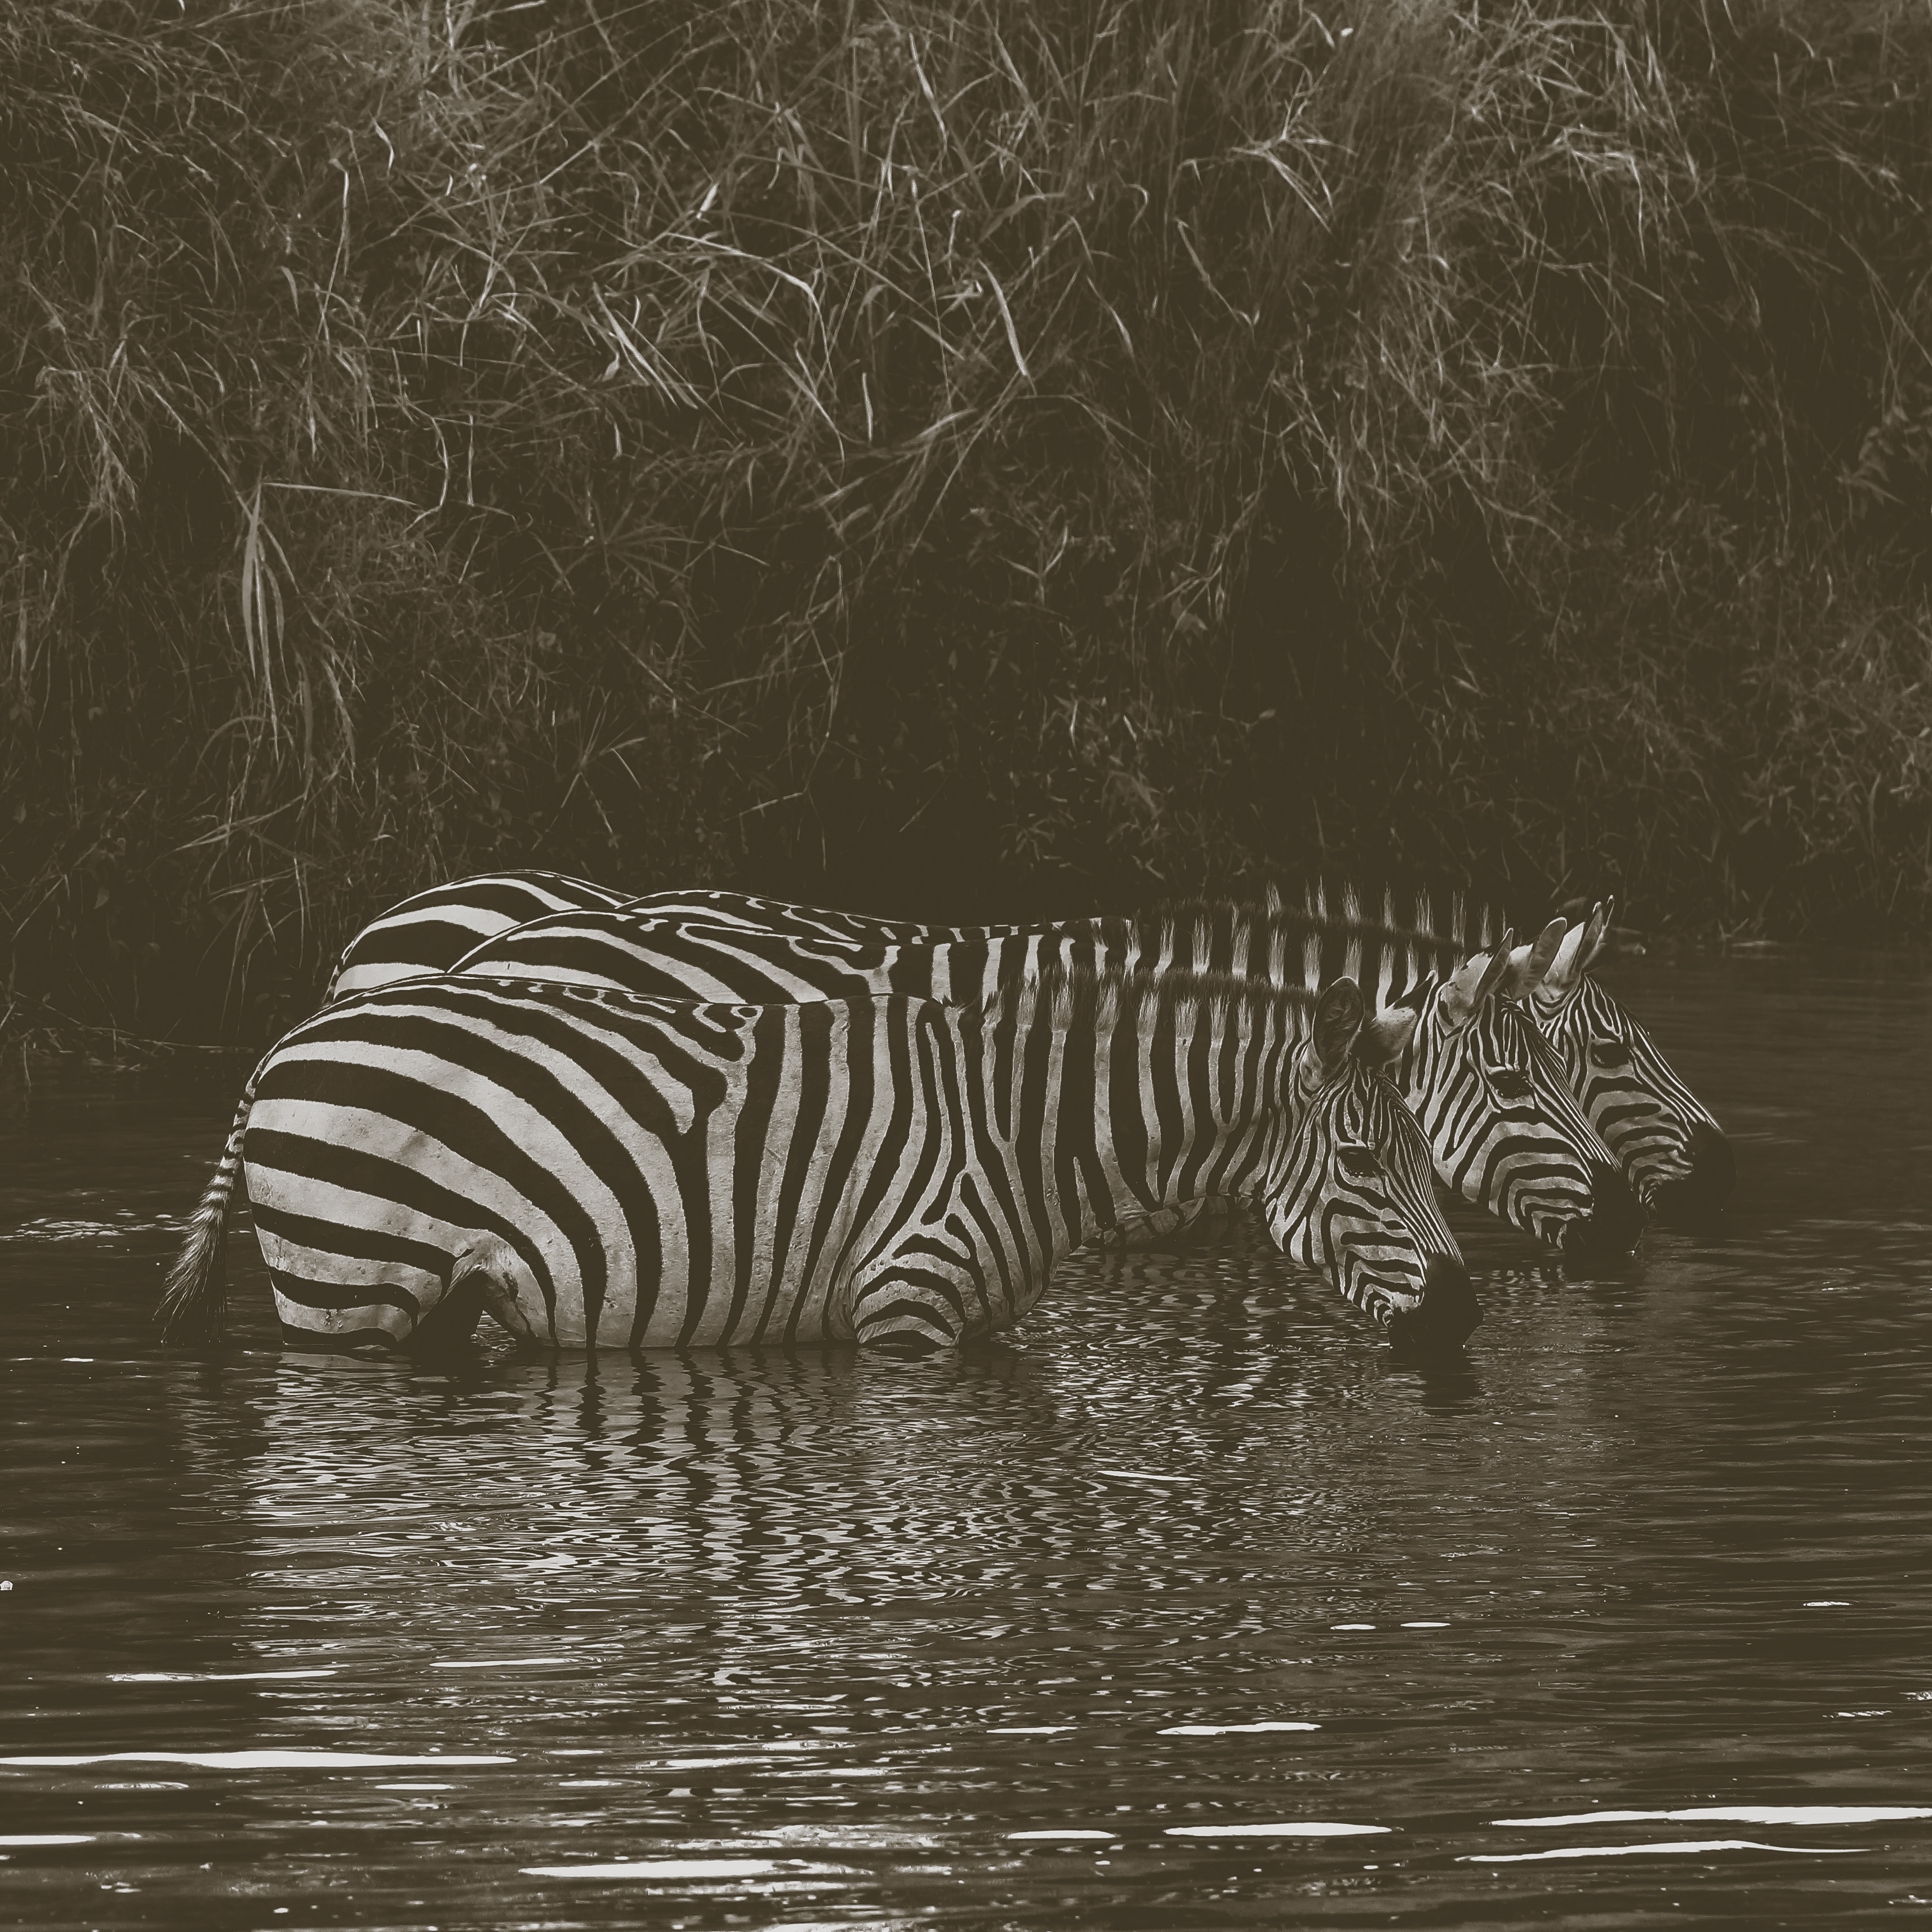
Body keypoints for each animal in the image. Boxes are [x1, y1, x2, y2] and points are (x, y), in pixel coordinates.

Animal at [158, 966, 1468, 1360]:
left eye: (1425, 1152)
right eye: (1362, 1158)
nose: (1463, 1306)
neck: (1025, 1134)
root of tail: (288, 1039)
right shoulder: (908, 1312)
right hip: (348, 1291)